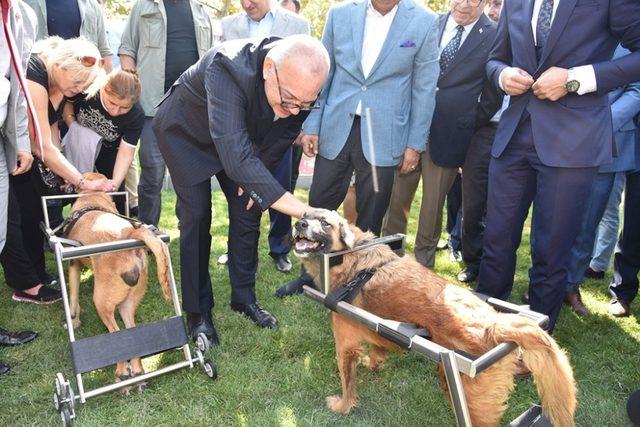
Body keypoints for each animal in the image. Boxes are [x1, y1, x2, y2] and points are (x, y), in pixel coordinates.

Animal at [65, 172, 171, 390]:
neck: (92, 197)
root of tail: (129, 233)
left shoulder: (73, 266)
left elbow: (73, 299)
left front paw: (73, 320)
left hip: (102, 303)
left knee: (116, 334)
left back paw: (122, 374)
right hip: (127, 304)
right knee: (130, 332)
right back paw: (137, 373)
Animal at [292, 210, 576, 427]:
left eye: (325, 222)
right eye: (305, 215)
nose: (298, 223)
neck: (352, 258)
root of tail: (494, 325)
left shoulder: (344, 342)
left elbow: (347, 382)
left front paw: (342, 406)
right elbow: (376, 348)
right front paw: (373, 363)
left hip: (465, 391)